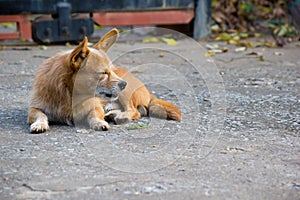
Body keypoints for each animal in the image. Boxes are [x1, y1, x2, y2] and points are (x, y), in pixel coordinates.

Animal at [27, 28, 180, 133]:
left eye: (112, 70)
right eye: (104, 73)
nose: (124, 84)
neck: (69, 95)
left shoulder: (95, 106)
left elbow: (94, 114)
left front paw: (98, 122)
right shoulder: (33, 109)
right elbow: (40, 115)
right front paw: (40, 124)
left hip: (125, 95)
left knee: (134, 110)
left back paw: (121, 116)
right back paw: (113, 113)